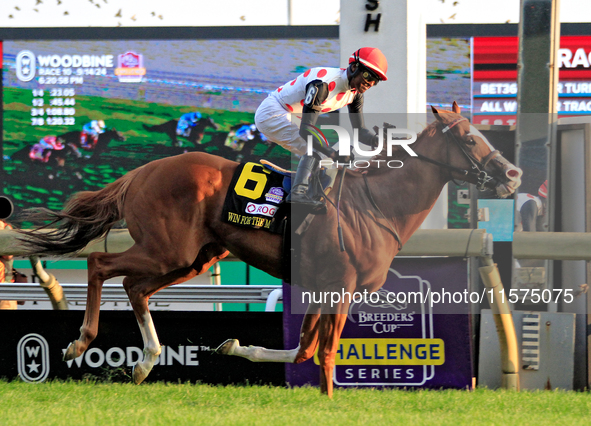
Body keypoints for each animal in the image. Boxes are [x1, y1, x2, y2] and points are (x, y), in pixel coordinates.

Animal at [13, 103, 524, 396]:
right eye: (470, 137)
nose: (513, 174)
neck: (376, 205)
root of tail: (143, 171)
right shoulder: (342, 287)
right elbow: (325, 352)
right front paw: (329, 400)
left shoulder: (322, 286)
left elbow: (303, 350)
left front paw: (236, 343)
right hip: (167, 249)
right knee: (101, 263)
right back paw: (81, 341)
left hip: (195, 257)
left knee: (136, 288)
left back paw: (144, 363)